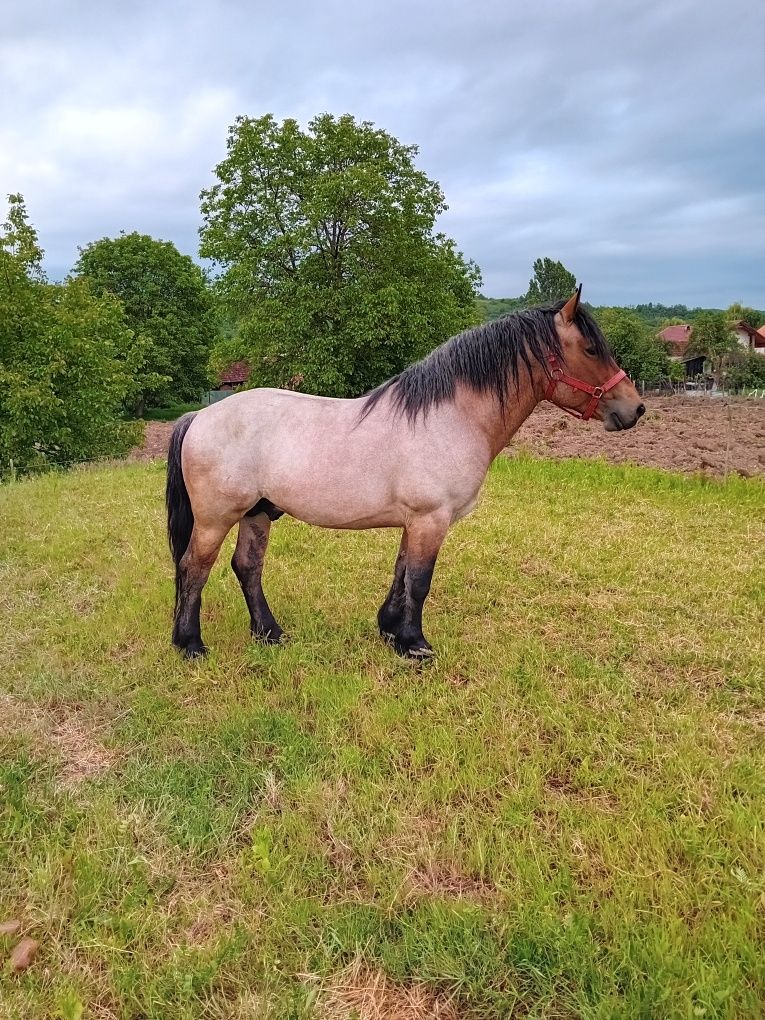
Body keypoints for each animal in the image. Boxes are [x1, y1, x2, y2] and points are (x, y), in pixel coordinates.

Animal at [166, 287, 648, 660]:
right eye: (591, 349)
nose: (635, 408)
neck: (452, 417)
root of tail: (199, 416)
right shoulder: (431, 519)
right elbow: (419, 582)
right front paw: (415, 645)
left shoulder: (414, 521)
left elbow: (401, 575)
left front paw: (390, 631)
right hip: (216, 519)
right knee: (194, 568)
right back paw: (190, 645)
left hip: (258, 513)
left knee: (247, 567)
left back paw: (270, 633)